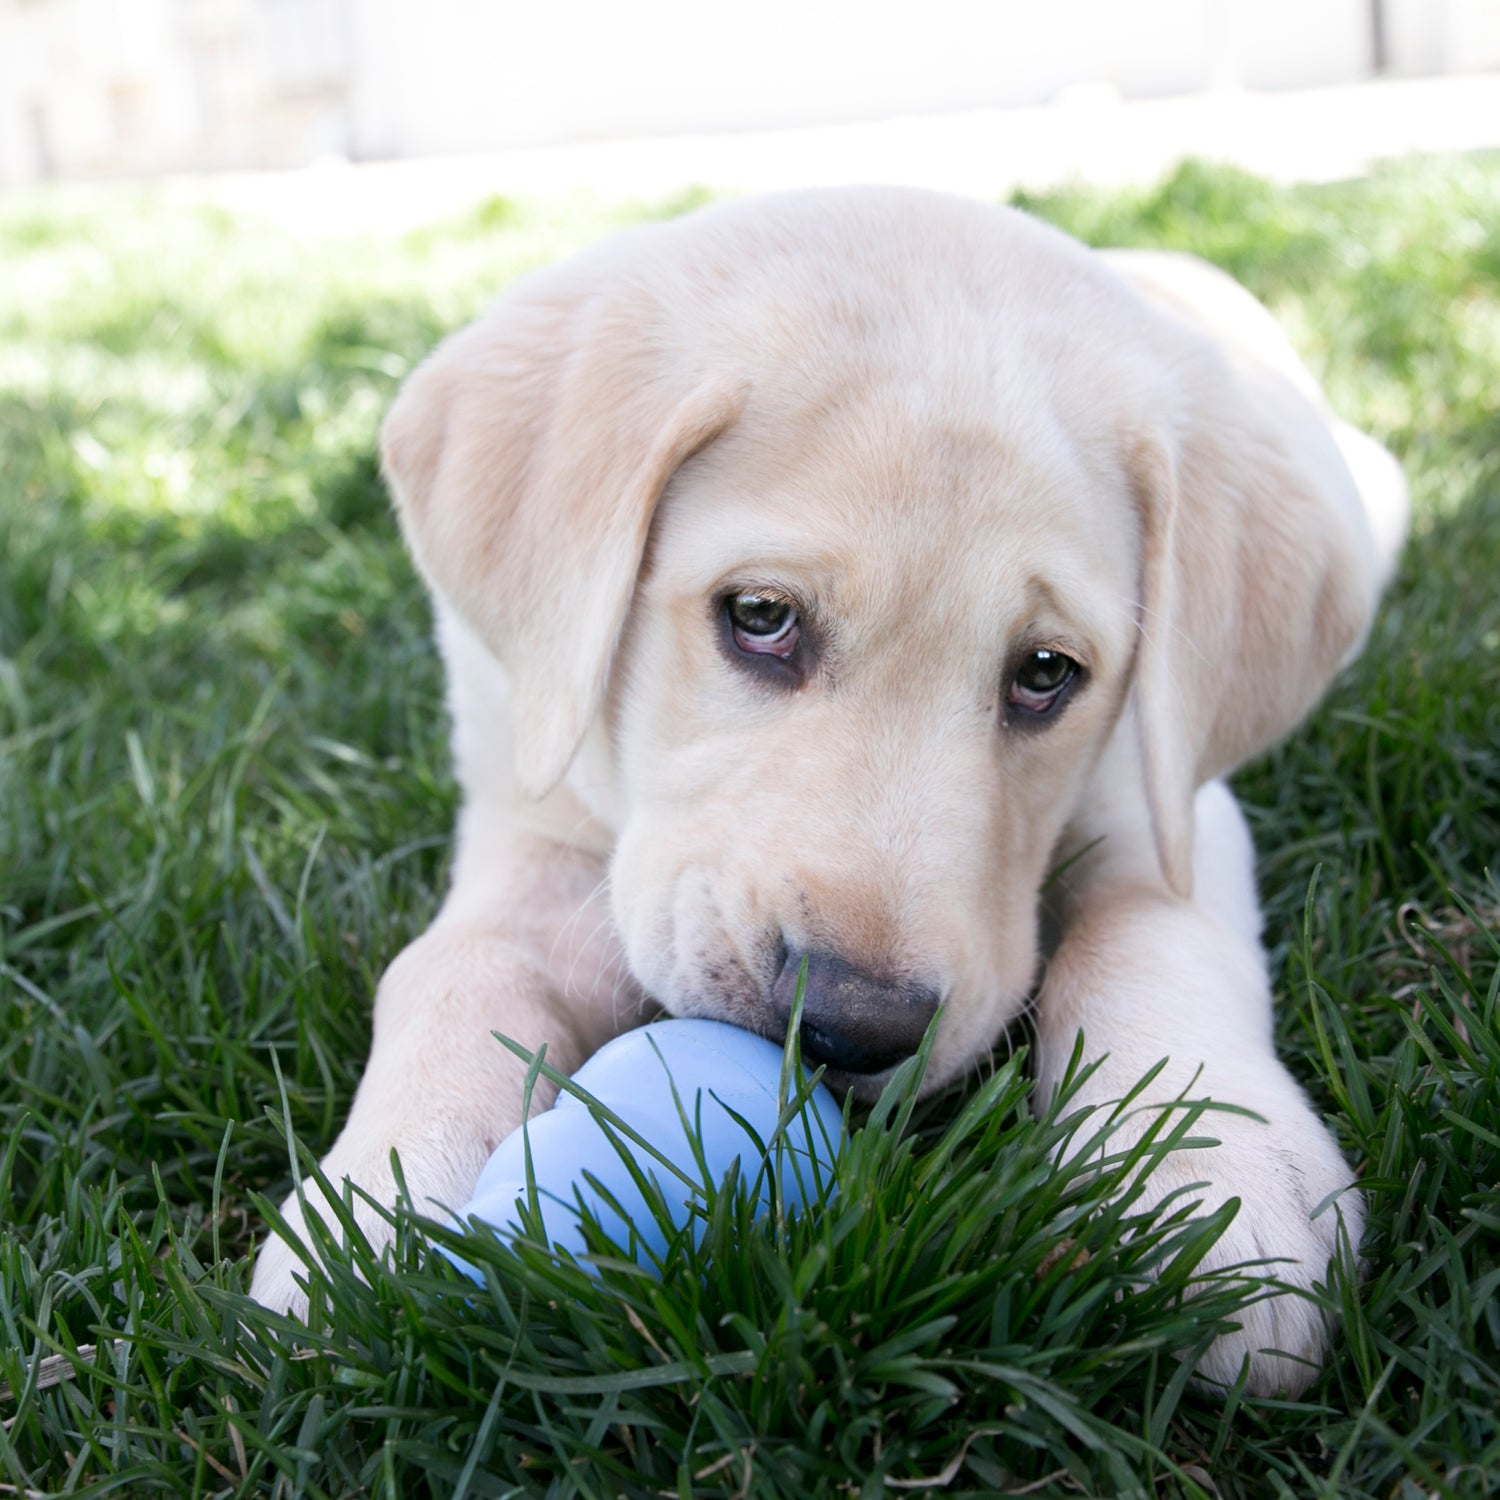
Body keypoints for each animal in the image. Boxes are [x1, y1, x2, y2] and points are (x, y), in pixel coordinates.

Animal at [246, 184, 1404, 1392]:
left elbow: (1148, 932)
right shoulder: (526, 796)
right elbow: (454, 964)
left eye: (1046, 673)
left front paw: (1212, 1181)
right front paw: (379, 1199)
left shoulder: (1162, 793)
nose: (853, 1027)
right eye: (760, 616)